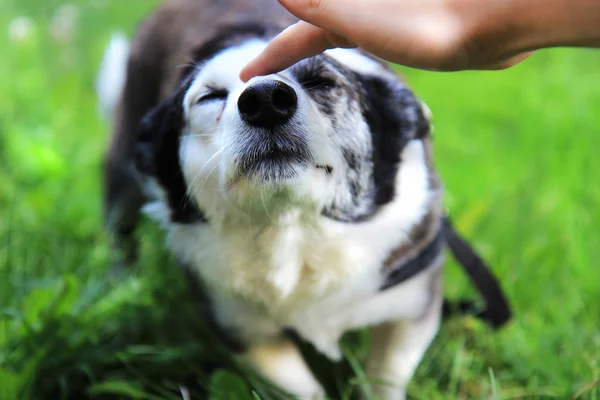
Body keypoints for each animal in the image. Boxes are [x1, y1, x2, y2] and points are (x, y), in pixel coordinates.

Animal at [98, 1, 510, 398]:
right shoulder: (243, 330)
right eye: (210, 96)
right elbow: (303, 388)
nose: (266, 99)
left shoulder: (412, 306)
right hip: (124, 165)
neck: (292, 228)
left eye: (322, 82)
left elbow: (386, 376)